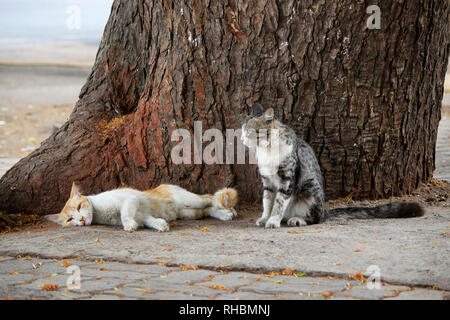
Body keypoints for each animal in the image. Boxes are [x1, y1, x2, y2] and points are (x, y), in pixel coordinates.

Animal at [59, 182, 239, 232]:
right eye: (70, 219)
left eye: (79, 206)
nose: (81, 219)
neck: (99, 212)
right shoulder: (141, 215)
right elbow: (150, 220)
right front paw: (160, 224)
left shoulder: (130, 200)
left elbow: (125, 214)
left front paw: (129, 225)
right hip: (188, 212)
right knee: (207, 209)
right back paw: (224, 215)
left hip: (190, 200)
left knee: (210, 198)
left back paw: (229, 210)